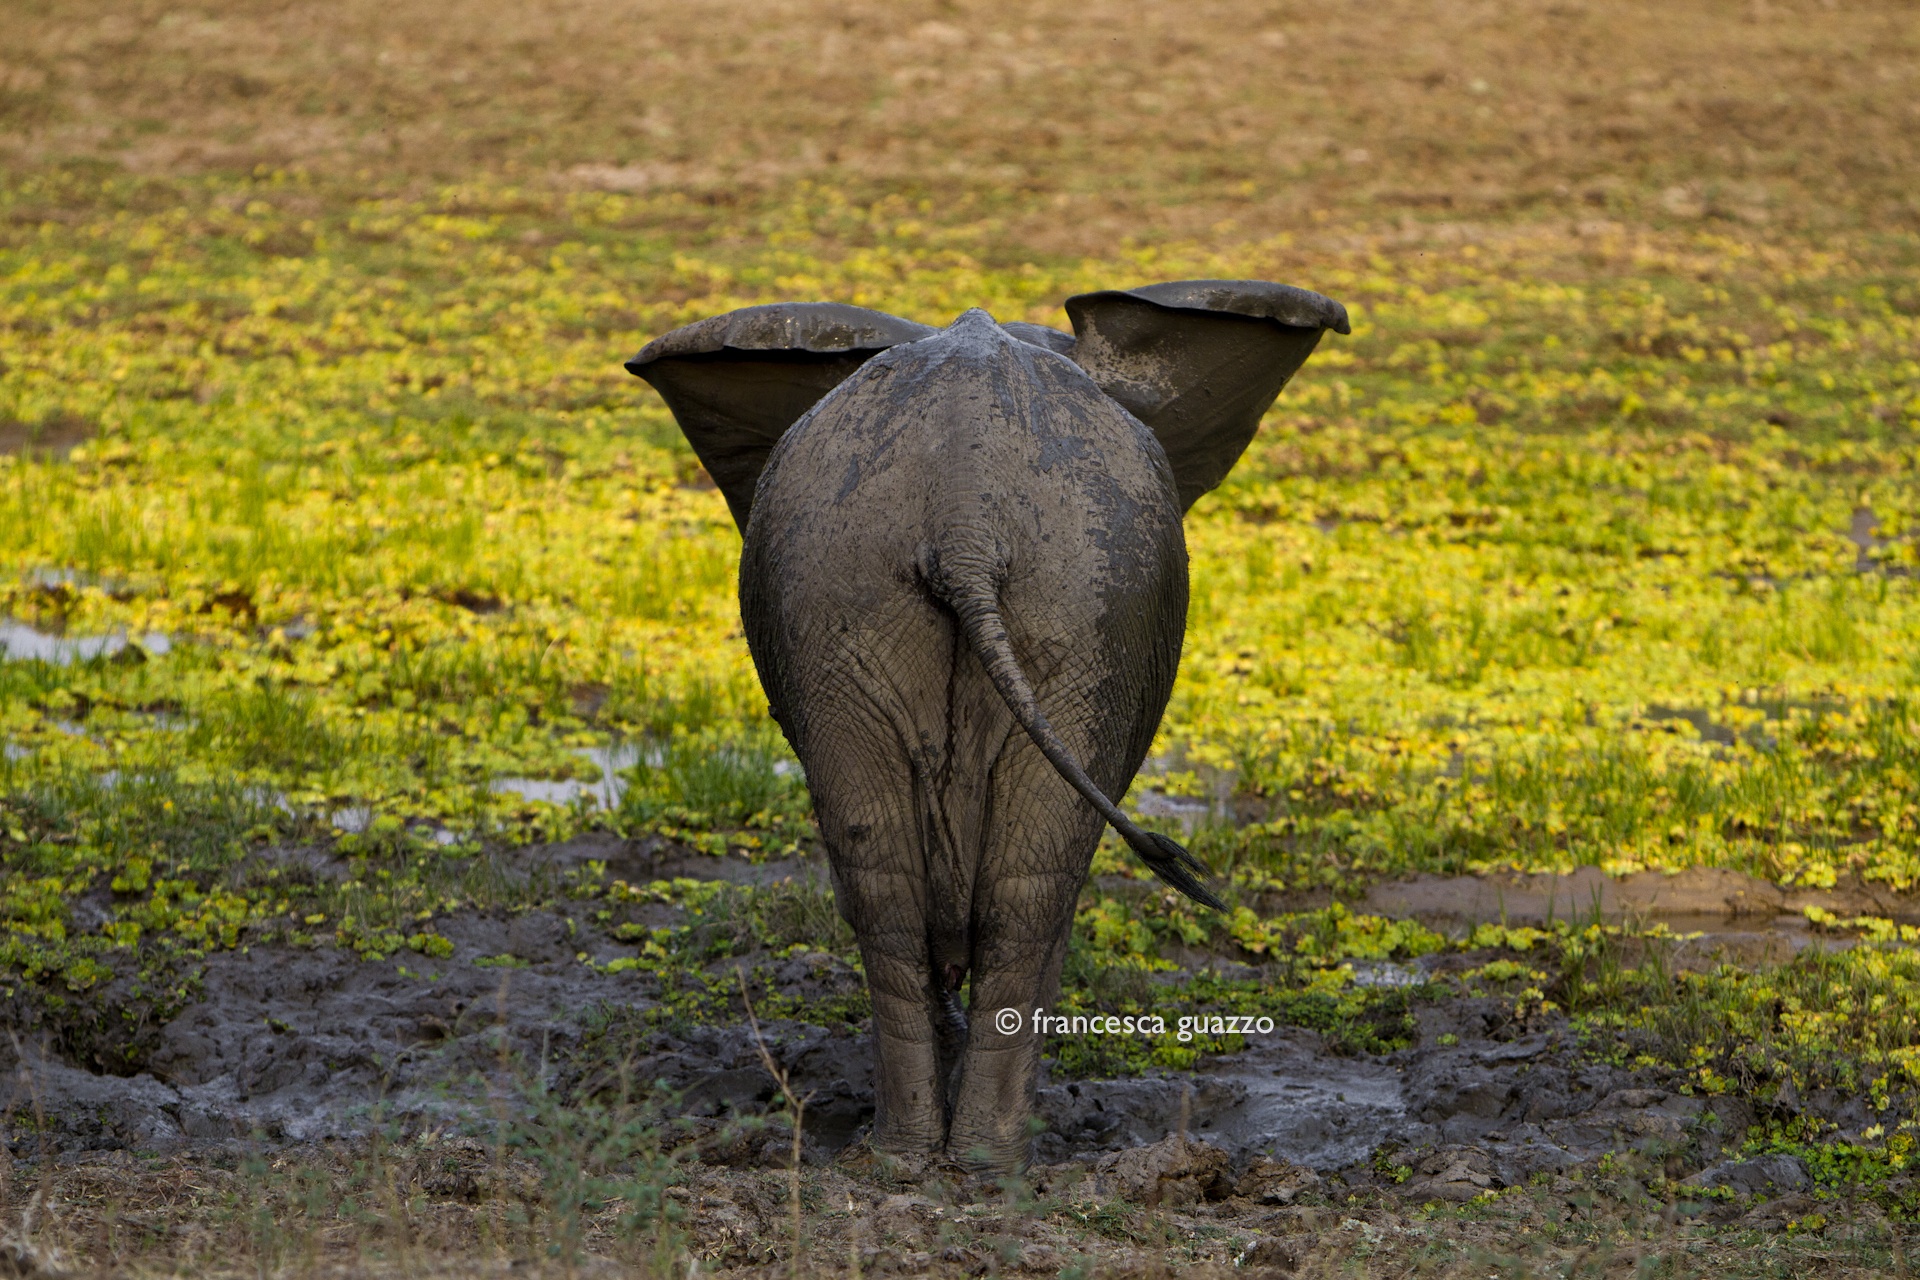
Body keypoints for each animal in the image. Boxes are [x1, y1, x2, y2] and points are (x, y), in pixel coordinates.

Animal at [625, 279, 1348, 1171]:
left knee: (890, 883)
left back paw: (908, 1159)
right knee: (1030, 888)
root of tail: (963, 514)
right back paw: (995, 1161)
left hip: (855, 590)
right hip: (1069, 601)